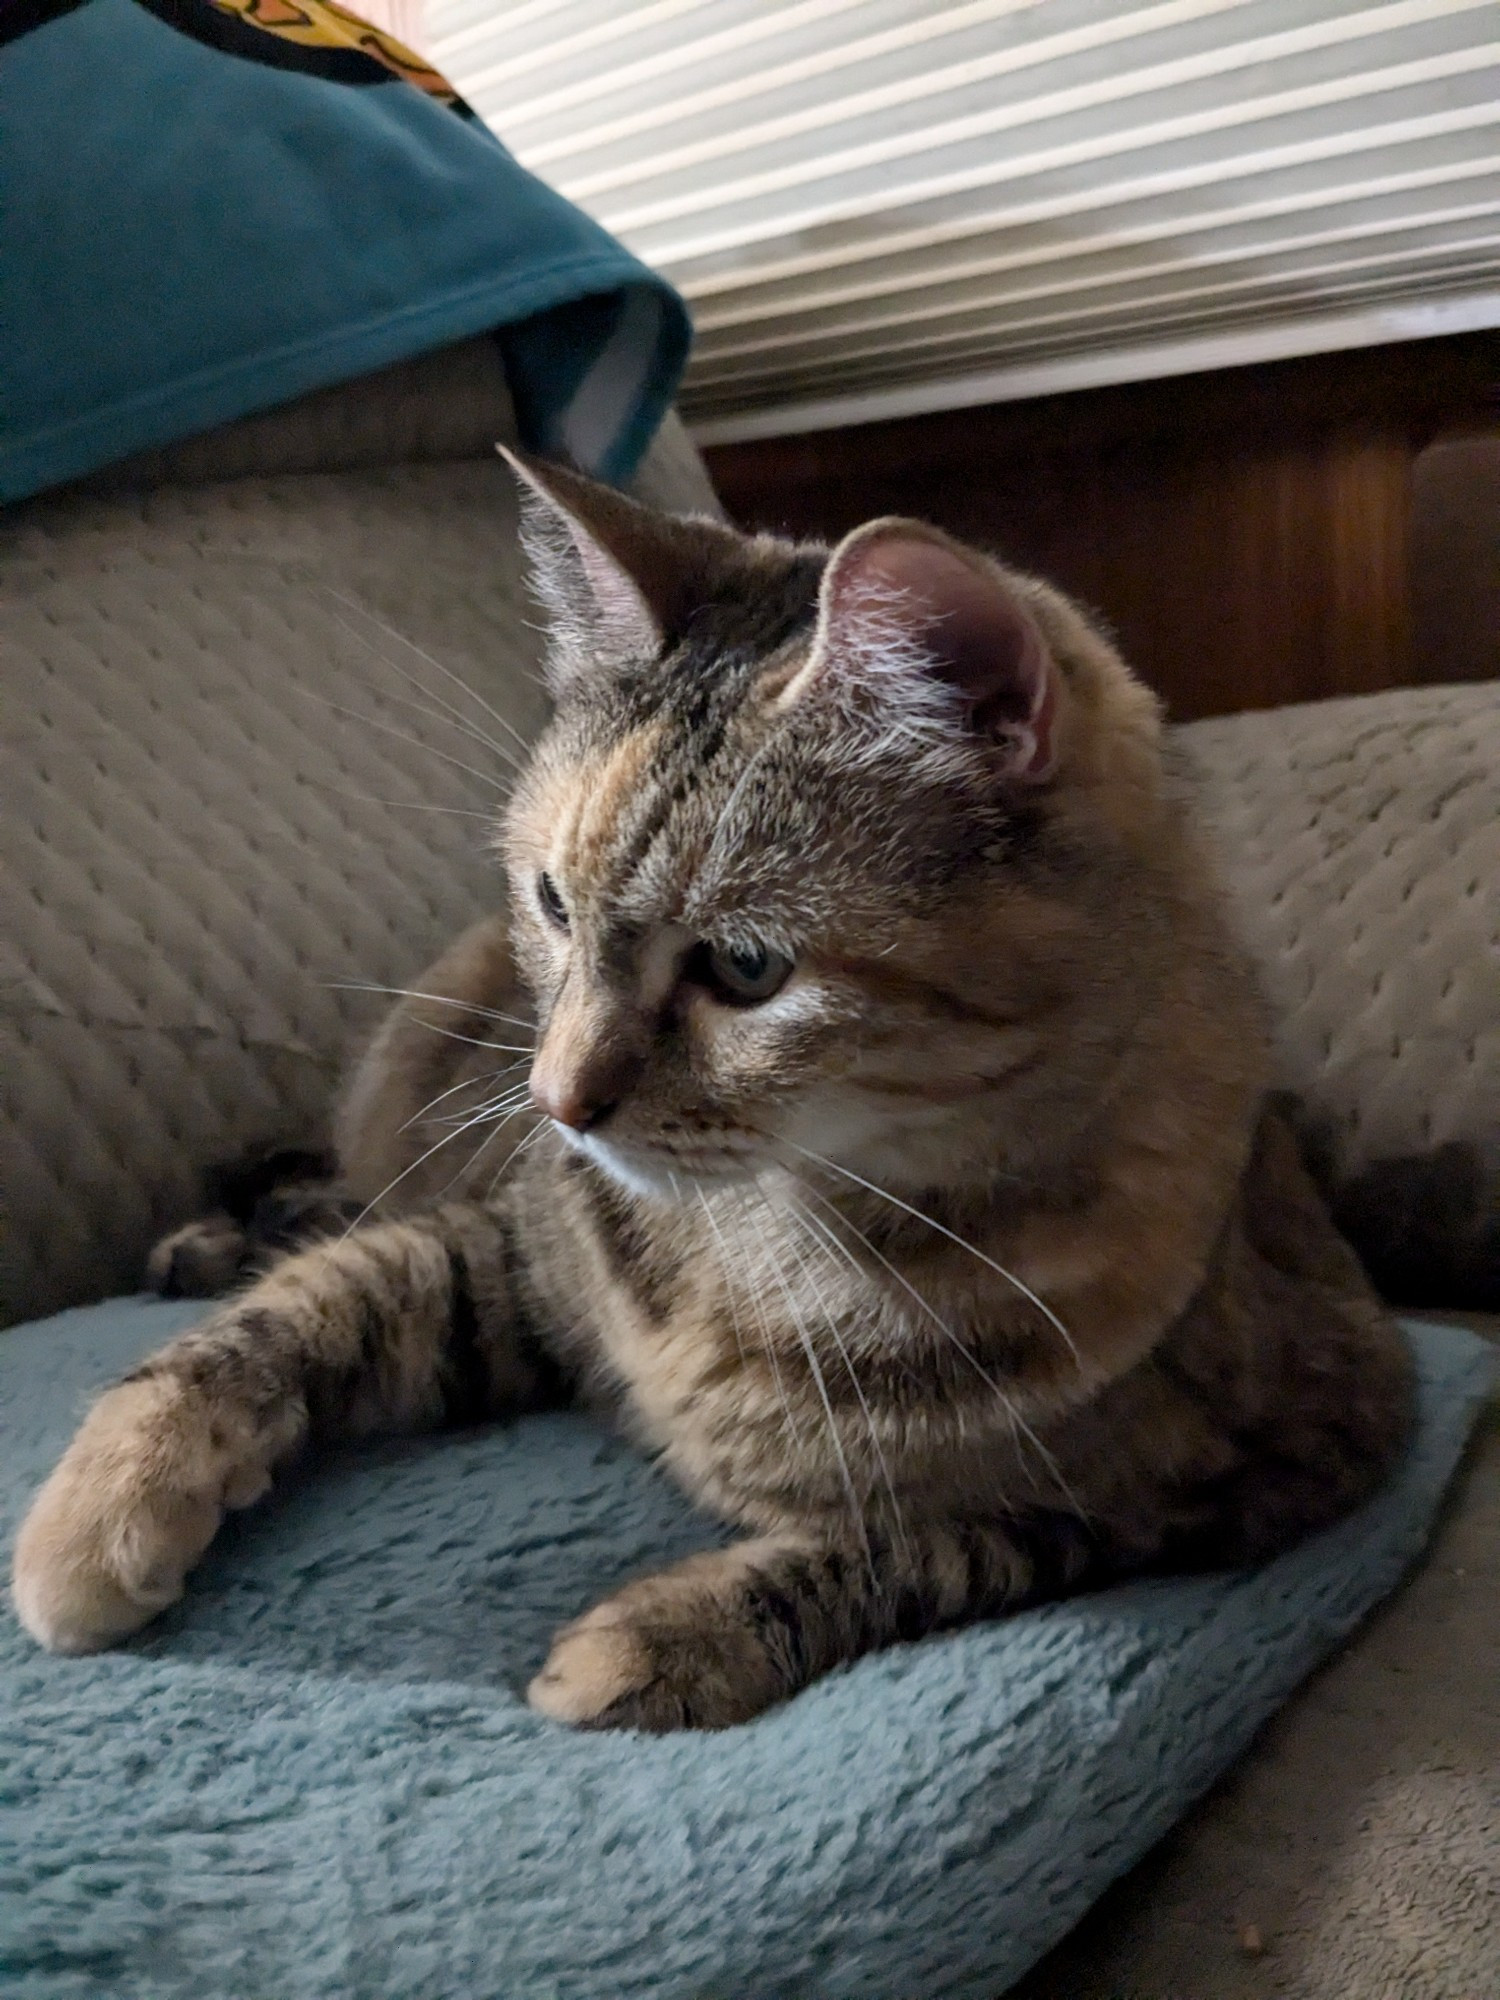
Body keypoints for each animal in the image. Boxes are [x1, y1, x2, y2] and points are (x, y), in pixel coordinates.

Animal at [11, 460, 1416, 1728]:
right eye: (553, 901)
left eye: (747, 967)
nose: (556, 1099)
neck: (777, 1235)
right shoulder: (520, 1255)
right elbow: (314, 1306)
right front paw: (101, 1505)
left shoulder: (1276, 1460)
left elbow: (943, 1539)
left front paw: (663, 1636)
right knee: (331, 1210)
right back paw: (212, 1240)